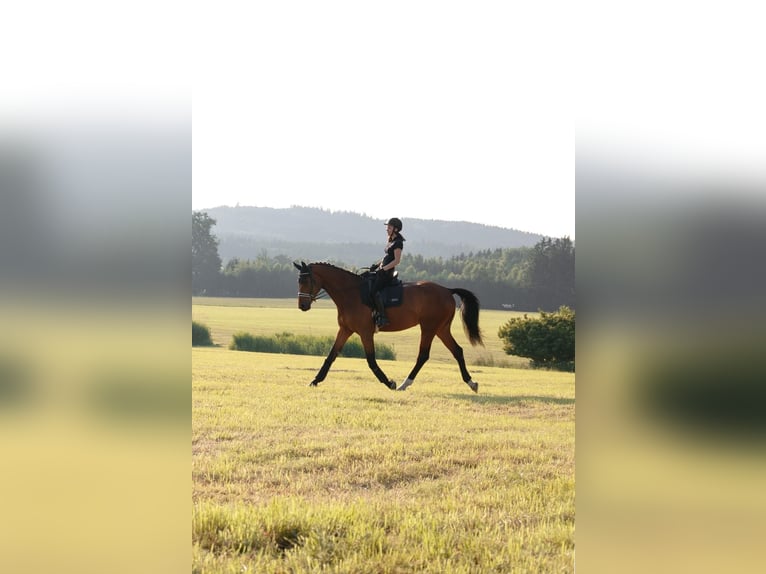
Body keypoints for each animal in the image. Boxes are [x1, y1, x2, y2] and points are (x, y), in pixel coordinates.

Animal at [293, 261, 484, 392]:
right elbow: (331, 356)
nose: (302, 306)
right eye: (298, 281)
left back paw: (404, 384)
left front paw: (389, 382)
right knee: (457, 351)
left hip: (429, 328)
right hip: (441, 329)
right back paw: (471, 383)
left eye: (306, 280)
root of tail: (447, 290)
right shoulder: (345, 330)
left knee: (423, 355)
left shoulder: (365, 332)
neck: (351, 293)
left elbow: (371, 360)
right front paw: (315, 380)